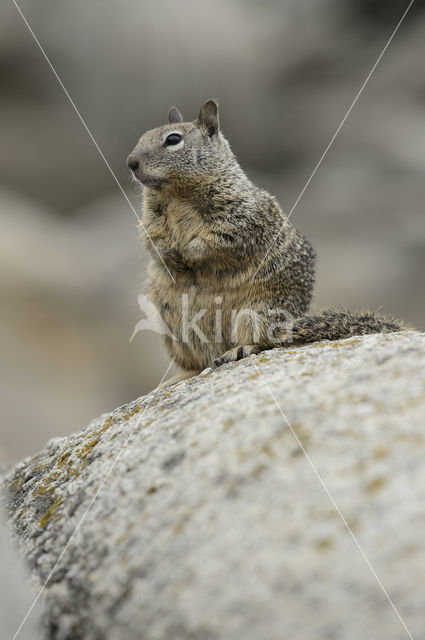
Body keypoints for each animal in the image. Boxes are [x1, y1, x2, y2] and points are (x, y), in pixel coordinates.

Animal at [126, 100, 404, 384]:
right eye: (142, 137)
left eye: (173, 139)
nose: (130, 162)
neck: (176, 193)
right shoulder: (151, 219)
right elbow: (151, 238)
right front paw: (169, 256)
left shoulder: (240, 218)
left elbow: (223, 240)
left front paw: (190, 253)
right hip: (174, 333)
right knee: (199, 361)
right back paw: (180, 376)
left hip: (256, 313)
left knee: (266, 342)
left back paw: (240, 349)